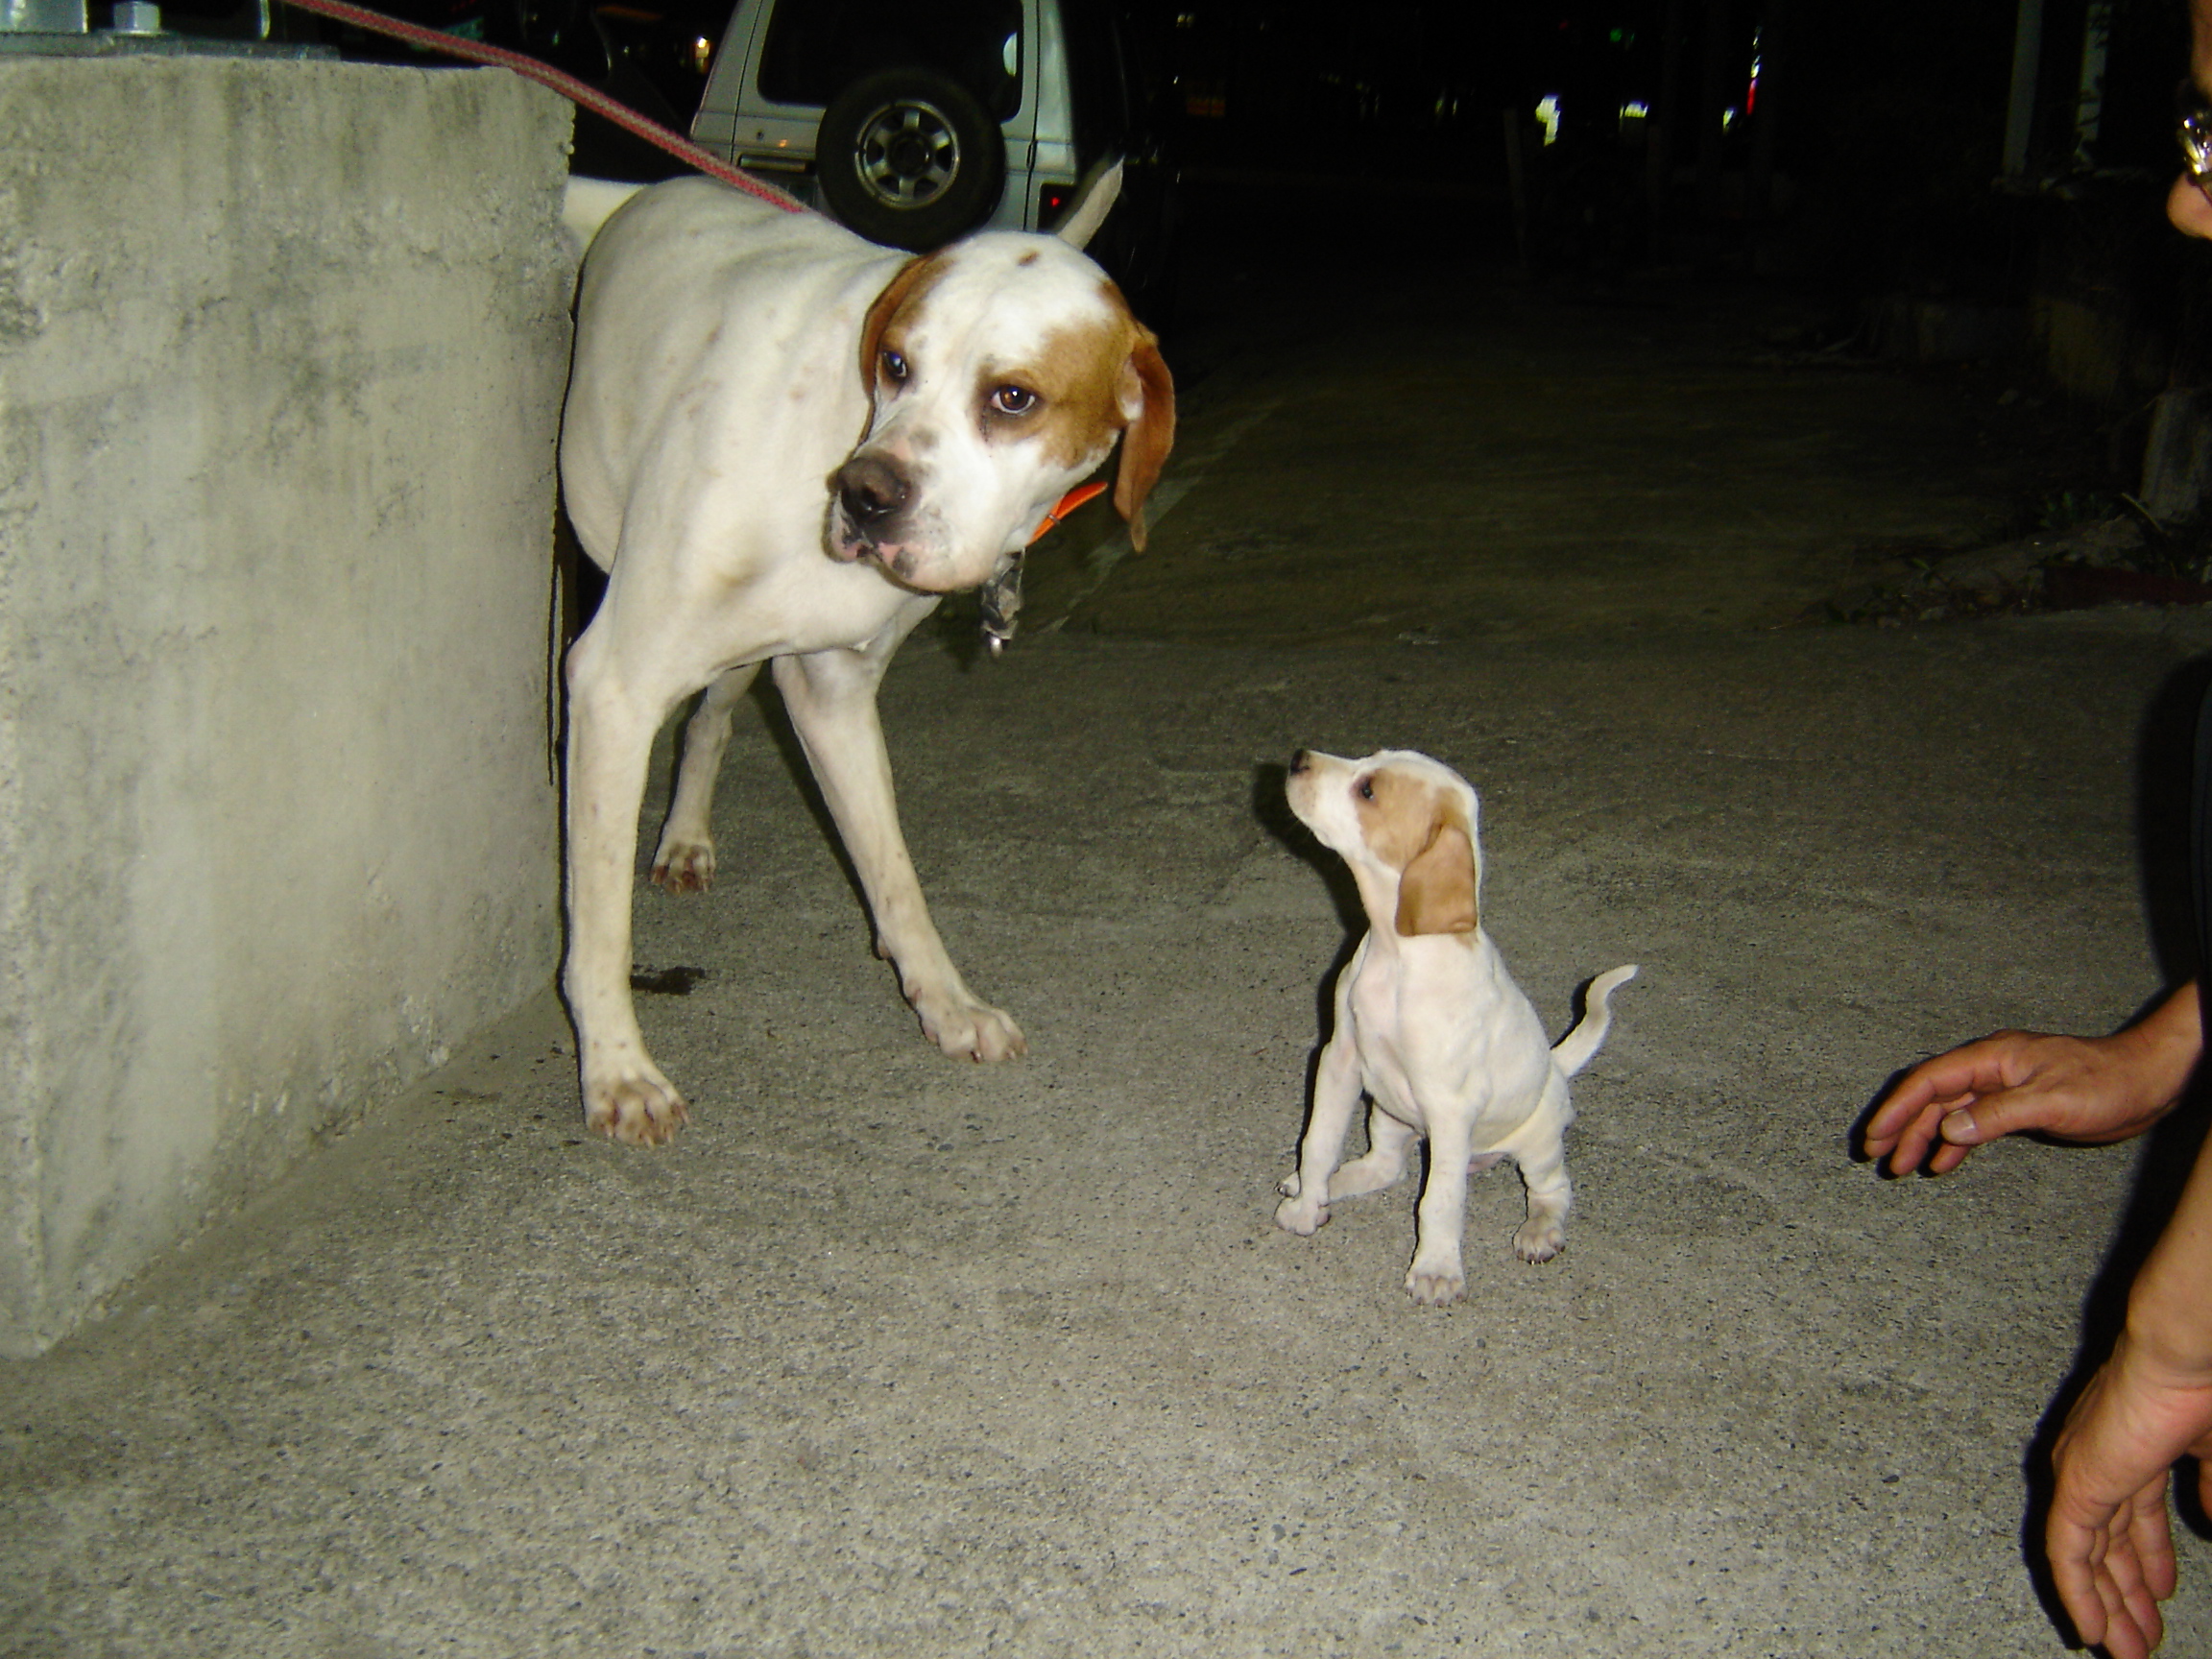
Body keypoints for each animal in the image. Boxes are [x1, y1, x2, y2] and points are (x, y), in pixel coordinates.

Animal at [556, 168, 1173, 1143]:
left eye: (1013, 398)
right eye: (896, 365)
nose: (864, 496)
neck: (838, 426)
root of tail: (644, 189)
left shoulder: (831, 691)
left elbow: (894, 874)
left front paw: (945, 1002)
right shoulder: (613, 685)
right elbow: (600, 921)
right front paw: (617, 1069)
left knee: (713, 720)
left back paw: (686, 833)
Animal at [1274, 748, 1636, 1304]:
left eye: (1368, 790)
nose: (1297, 759)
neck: (1397, 955)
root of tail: (1555, 1067)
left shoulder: (1449, 1107)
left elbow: (1439, 1200)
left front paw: (1436, 1270)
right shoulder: (1340, 1061)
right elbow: (1318, 1142)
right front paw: (1306, 1208)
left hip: (1536, 1144)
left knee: (1552, 1189)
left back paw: (1540, 1232)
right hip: (1387, 1112)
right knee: (1385, 1165)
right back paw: (1326, 1185)